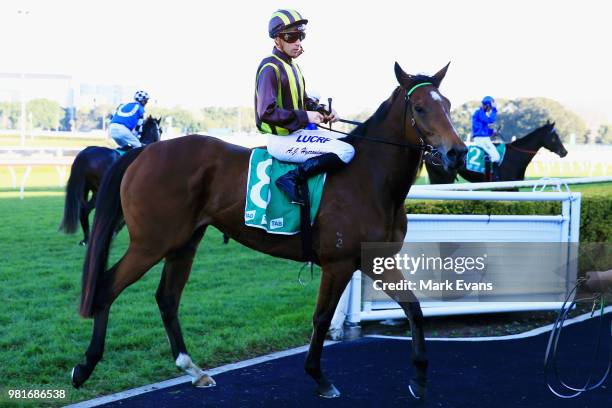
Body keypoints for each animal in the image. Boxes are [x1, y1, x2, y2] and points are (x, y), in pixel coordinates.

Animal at [71, 62, 466, 400]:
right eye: (419, 108)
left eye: (447, 104)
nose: (457, 153)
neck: (368, 179)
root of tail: (146, 152)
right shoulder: (337, 263)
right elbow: (321, 317)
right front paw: (319, 377)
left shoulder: (375, 260)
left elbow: (414, 309)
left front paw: (419, 378)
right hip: (151, 243)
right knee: (107, 287)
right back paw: (84, 367)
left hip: (184, 243)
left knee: (167, 298)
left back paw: (192, 369)